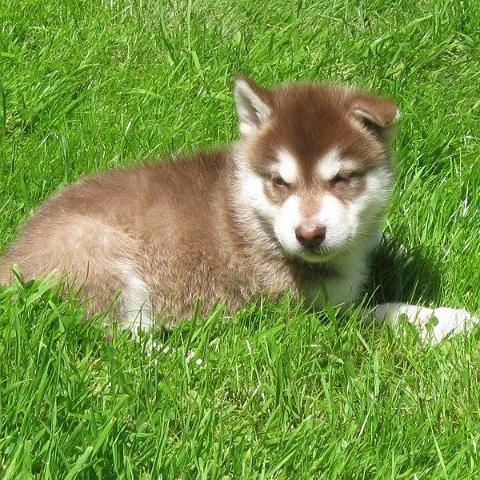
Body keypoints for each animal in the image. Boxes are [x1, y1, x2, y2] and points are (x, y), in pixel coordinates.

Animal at [0, 76, 477, 343]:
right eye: (279, 182)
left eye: (342, 179)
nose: (309, 234)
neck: (251, 215)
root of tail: (10, 259)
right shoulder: (305, 314)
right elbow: (380, 313)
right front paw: (447, 320)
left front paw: (396, 250)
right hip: (96, 258)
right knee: (125, 340)